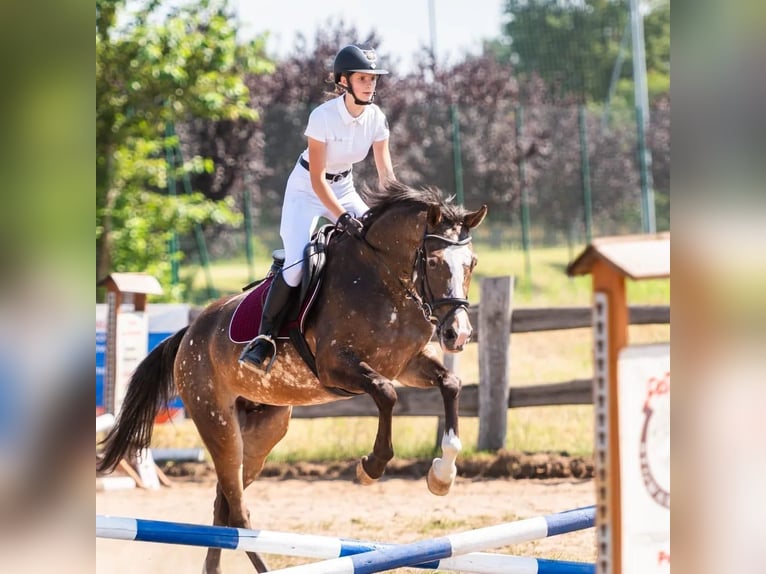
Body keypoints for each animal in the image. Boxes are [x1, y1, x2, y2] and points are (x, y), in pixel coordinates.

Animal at [97, 180, 487, 573]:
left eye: (472, 263)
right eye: (434, 262)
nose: (458, 334)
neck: (385, 279)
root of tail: (189, 333)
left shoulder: (408, 365)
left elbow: (450, 385)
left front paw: (442, 475)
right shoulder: (337, 365)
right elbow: (385, 394)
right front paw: (371, 466)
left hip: (262, 431)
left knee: (226, 503)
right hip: (217, 423)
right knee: (237, 509)